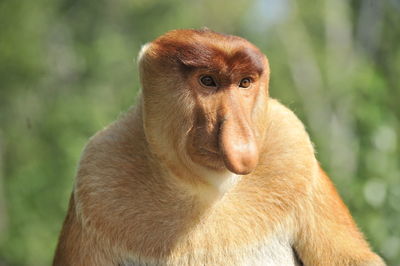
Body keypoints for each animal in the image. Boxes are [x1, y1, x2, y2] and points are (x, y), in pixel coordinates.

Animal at [52, 28, 384, 264]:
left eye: (245, 83)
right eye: (208, 81)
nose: (241, 143)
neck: (207, 183)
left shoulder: (292, 145)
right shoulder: (98, 172)